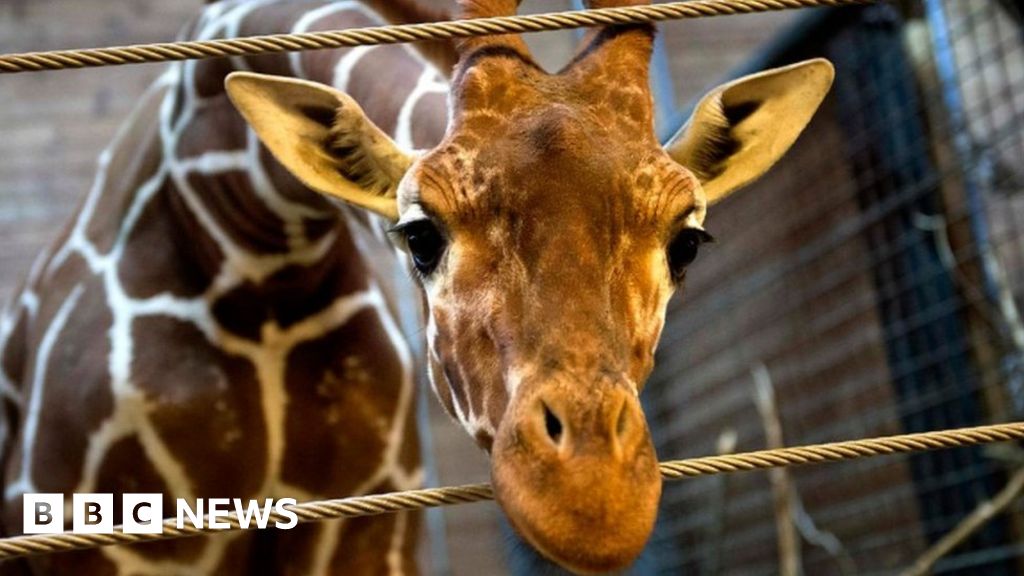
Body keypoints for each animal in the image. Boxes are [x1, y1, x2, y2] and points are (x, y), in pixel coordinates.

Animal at [0, 0, 835, 574]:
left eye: (686, 241)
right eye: (421, 234)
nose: (593, 502)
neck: (256, 252)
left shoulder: (365, 531)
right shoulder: (99, 537)